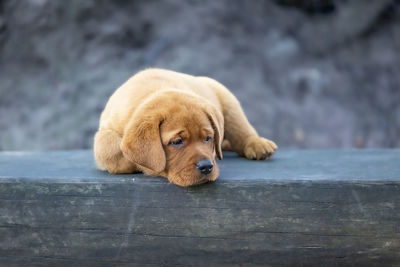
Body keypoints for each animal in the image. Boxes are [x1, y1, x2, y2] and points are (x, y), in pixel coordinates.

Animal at [94, 68, 276, 186]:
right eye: (177, 142)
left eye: (208, 138)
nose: (206, 167)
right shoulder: (103, 134)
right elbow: (112, 150)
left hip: (228, 101)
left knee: (241, 130)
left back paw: (257, 144)